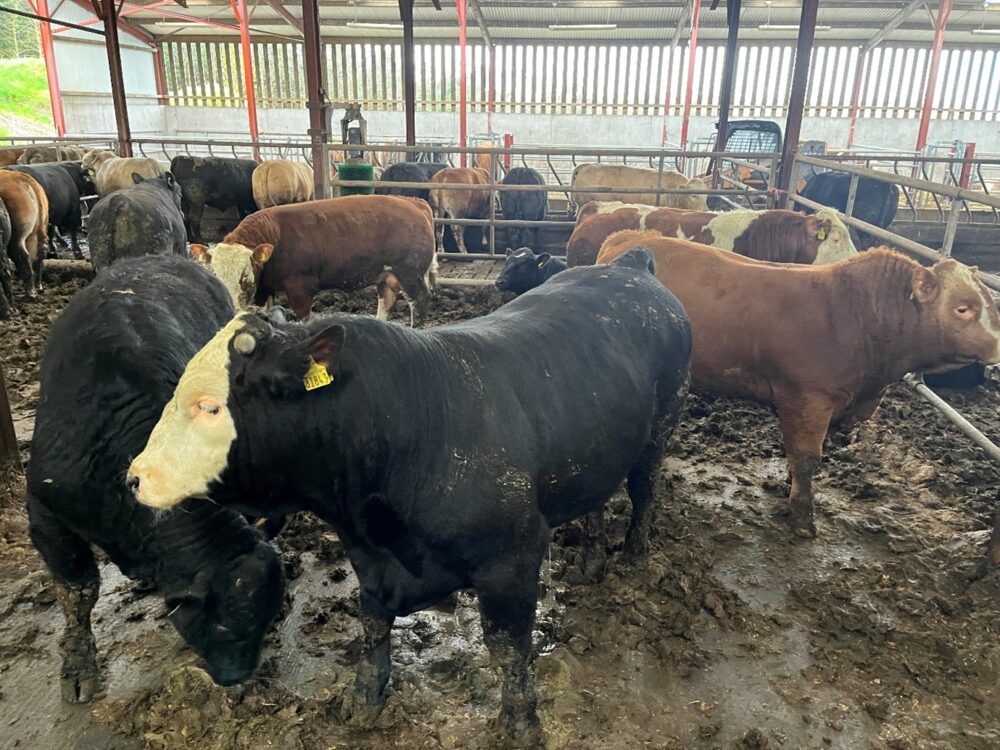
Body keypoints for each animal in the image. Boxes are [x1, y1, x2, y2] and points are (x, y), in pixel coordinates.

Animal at [27, 254, 284, 702]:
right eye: (223, 625)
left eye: (266, 621)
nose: (238, 681)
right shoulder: (47, 513)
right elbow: (77, 592)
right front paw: (78, 666)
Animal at [126, 249, 692, 746]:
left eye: (210, 406)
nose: (134, 477)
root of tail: (627, 265)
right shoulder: (369, 555)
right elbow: (373, 623)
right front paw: (365, 698)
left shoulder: (513, 556)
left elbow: (508, 648)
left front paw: (520, 723)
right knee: (596, 500)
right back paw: (592, 561)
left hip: (663, 421)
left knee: (643, 487)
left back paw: (634, 555)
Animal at [189, 194, 436, 322]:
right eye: (214, 274)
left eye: (244, 275)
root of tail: (413, 202)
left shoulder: (300, 289)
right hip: (387, 275)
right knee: (387, 301)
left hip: (410, 274)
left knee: (419, 301)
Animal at [598, 231, 1000, 539]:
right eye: (963, 308)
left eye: (990, 302)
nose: (998, 345)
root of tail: (627, 237)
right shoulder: (809, 399)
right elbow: (807, 459)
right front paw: (803, 518)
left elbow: (795, 458)